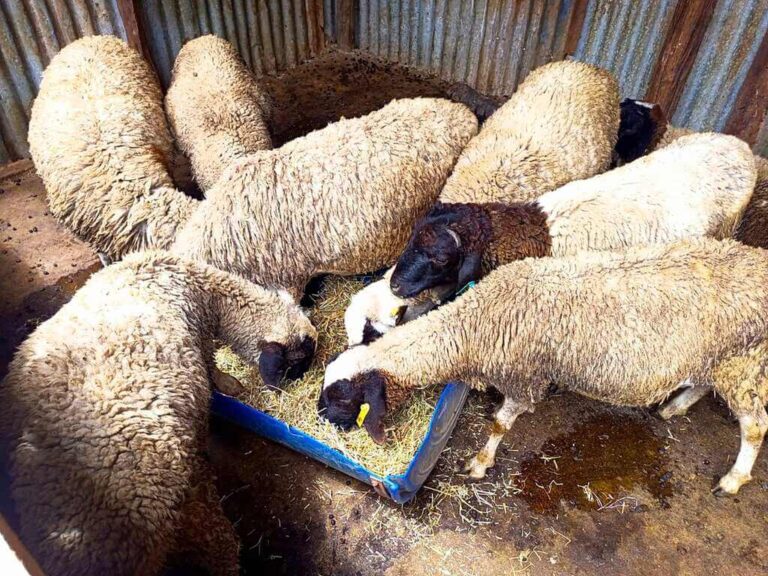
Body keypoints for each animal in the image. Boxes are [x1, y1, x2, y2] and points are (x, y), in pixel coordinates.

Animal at [322, 238, 768, 495]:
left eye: (343, 398)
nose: (321, 418)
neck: (475, 322)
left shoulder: (523, 378)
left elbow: (500, 424)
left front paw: (480, 463)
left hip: (744, 362)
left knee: (755, 426)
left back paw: (732, 480)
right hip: (722, 357)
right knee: (705, 384)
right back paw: (675, 406)